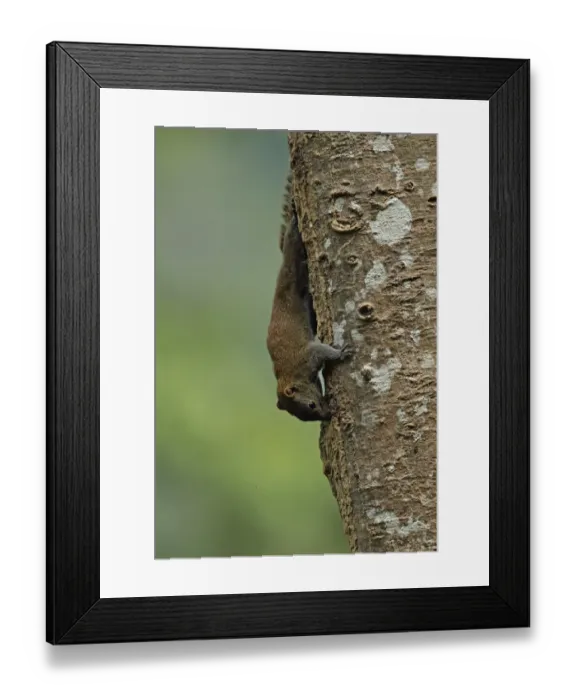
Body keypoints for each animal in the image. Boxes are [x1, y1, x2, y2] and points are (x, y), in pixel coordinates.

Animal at [266, 173, 353, 422]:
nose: (327, 415)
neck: (290, 375)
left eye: (311, 405)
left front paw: (341, 353)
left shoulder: (308, 357)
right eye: (303, 417)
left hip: (294, 260)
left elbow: (324, 351)